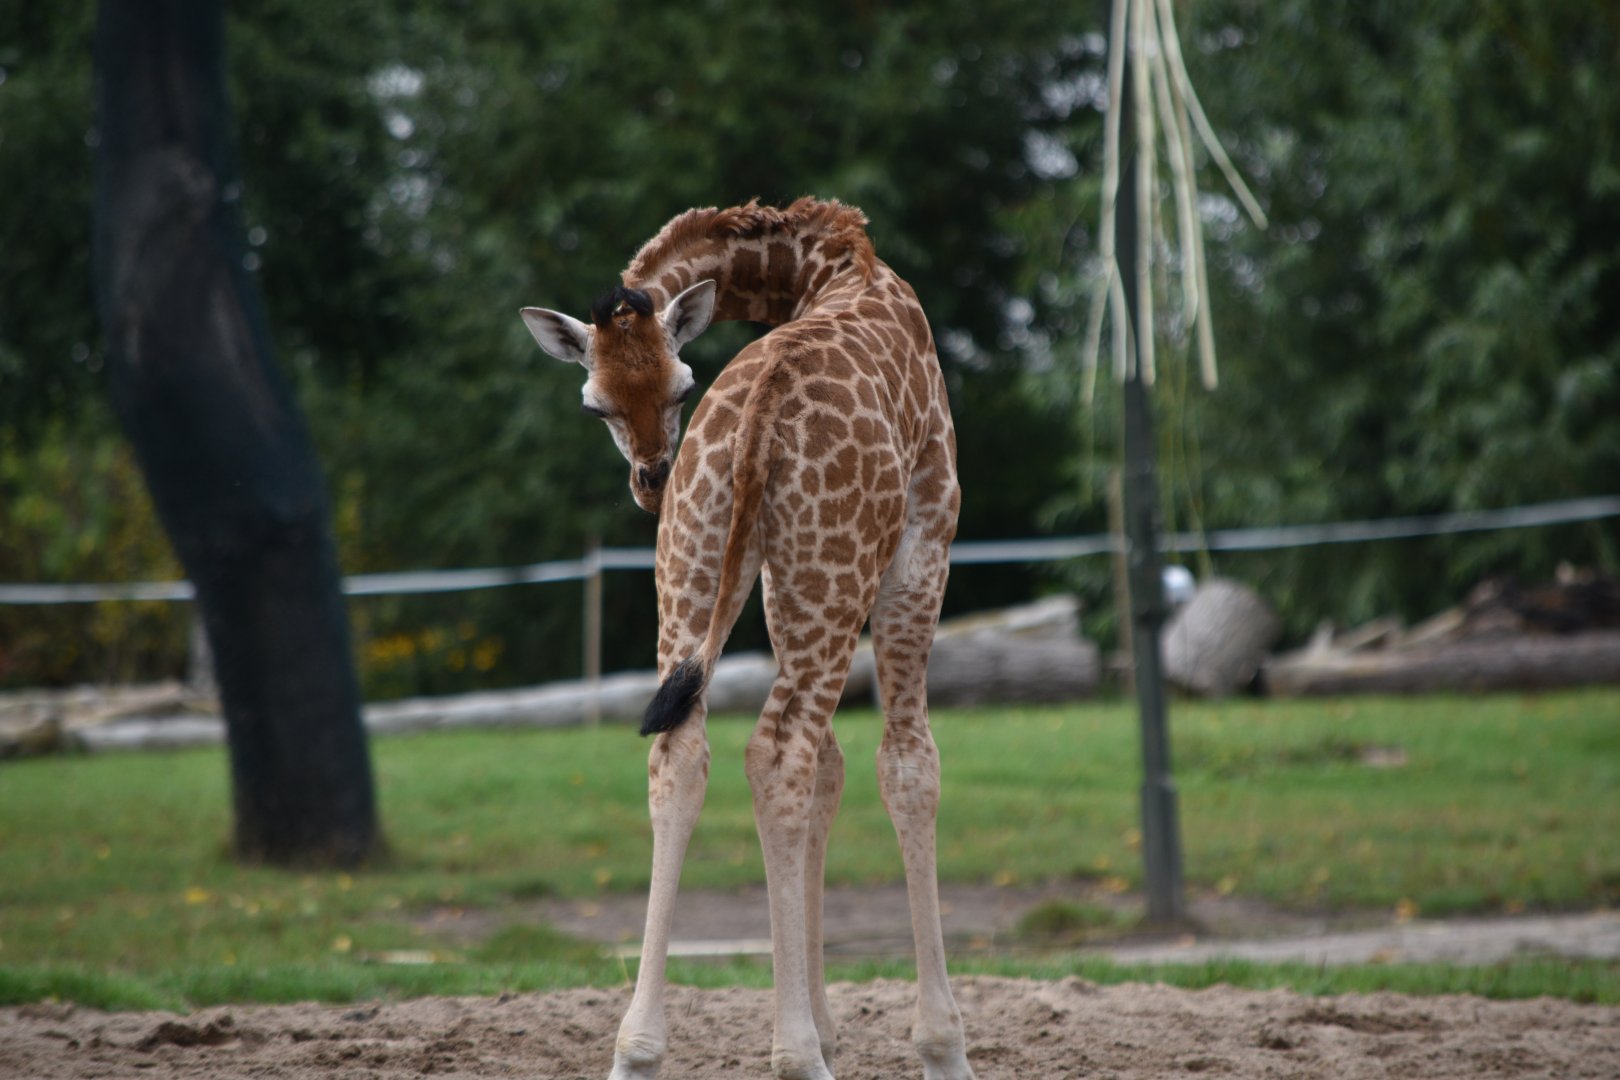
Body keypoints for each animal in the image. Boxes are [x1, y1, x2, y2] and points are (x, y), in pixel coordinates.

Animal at [520, 198, 974, 1080]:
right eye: (597, 404)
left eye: (680, 384)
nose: (649, 480)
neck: (826, 267)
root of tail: (760, 414)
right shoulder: (924, 544)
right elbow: (907, 766)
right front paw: (937, 1045)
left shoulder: (768, 581)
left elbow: (831, 771)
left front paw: (828, 1023)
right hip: (839, 570)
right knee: (778, 751)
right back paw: (796, 1055)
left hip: (696, 566)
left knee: (683, 752)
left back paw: (638, 1051)